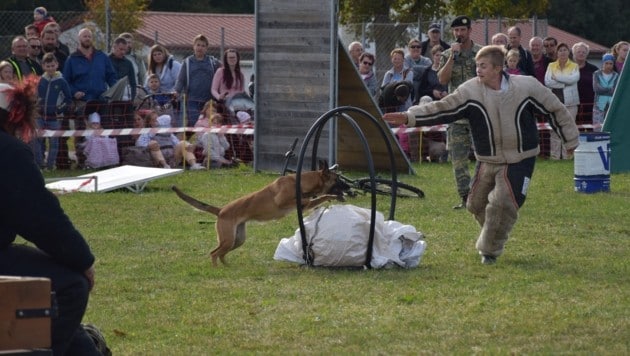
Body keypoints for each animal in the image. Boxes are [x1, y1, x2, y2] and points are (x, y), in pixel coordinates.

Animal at [170, 163, 344, 266]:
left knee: (220, 254)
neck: (300, 182)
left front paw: (334, 197)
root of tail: (221, 210)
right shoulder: (283, 201)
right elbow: (305, 198)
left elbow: (321, 197)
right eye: (337, 179)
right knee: (214, 253)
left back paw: (227, 267)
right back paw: (216, 269)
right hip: (228, 239)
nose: (348, 187)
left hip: (237, 240)